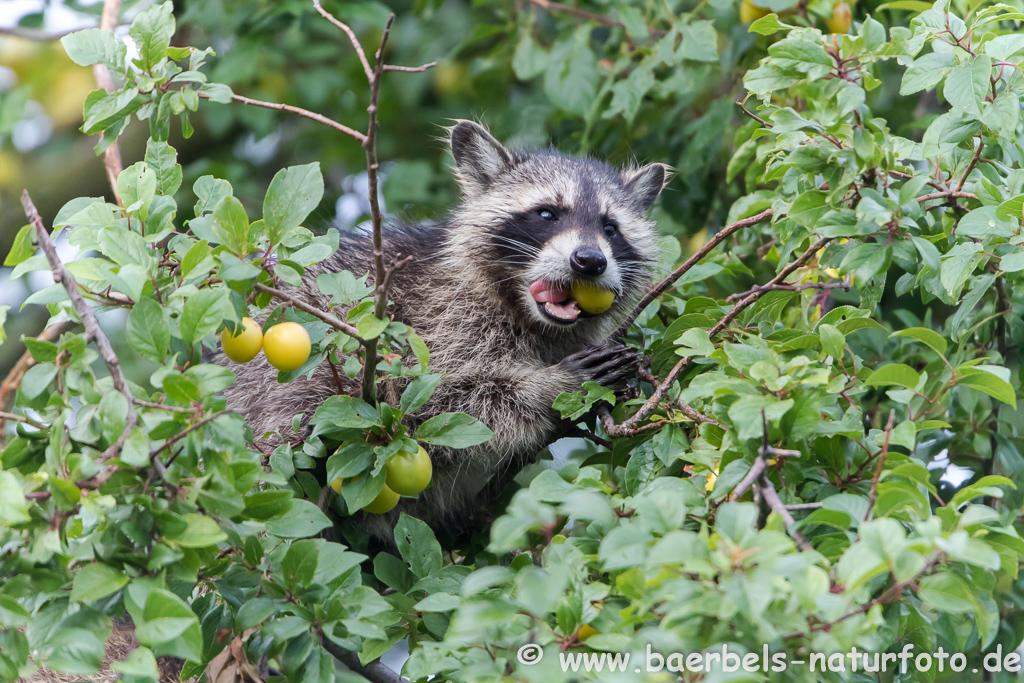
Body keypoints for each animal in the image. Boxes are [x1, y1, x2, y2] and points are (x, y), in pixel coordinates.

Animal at [223, 120, 667, 540]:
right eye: (547, 214)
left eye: (610, 228)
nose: (589, 260)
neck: (532, 318)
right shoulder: (429, 317)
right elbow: (440, 400)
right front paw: (550, 384)